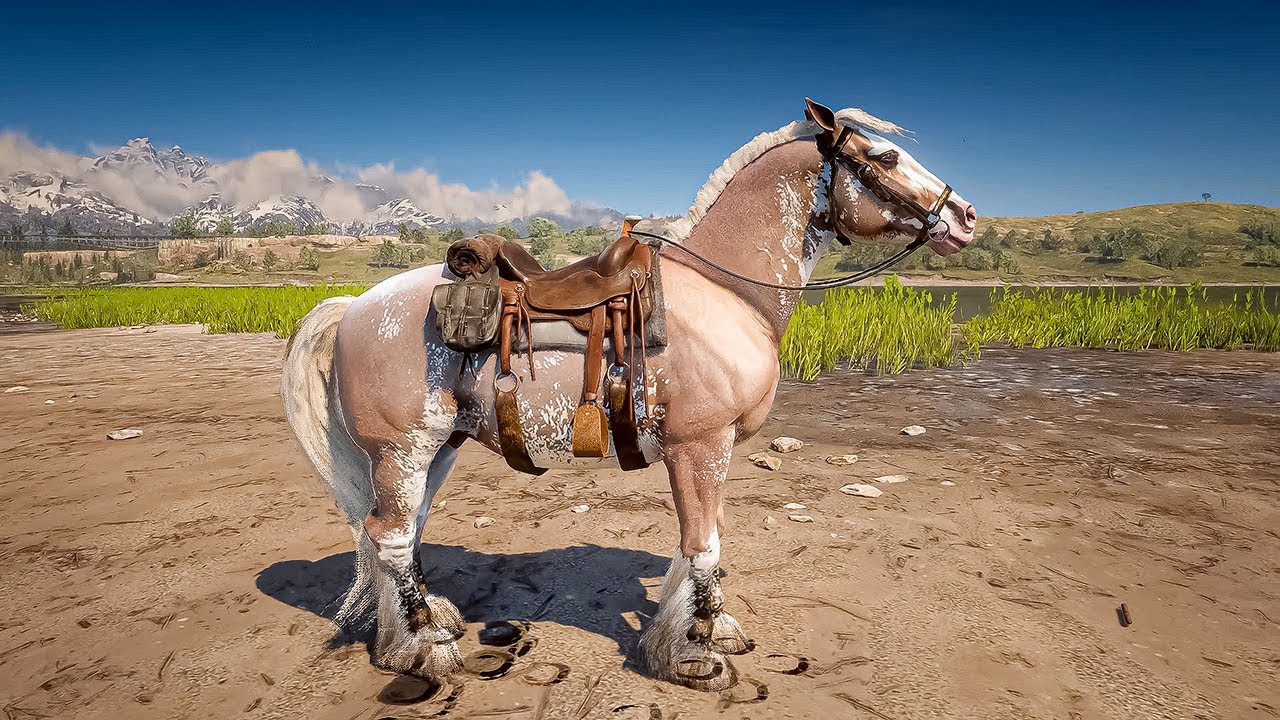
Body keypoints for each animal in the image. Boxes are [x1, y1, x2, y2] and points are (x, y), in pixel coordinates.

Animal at [280, 98, 976, 691]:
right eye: (884, 156)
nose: (965, 216)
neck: (726, 291)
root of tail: (354, 307)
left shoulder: (714, 450)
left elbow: (705, 539)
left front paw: (708, 629)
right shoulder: (700, 446)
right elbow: (702, 544)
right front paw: (695, 656)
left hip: (437, 448)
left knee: (398, 532)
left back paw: (425, 626)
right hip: (402, 450)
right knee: (391, 536)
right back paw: (422, 649)